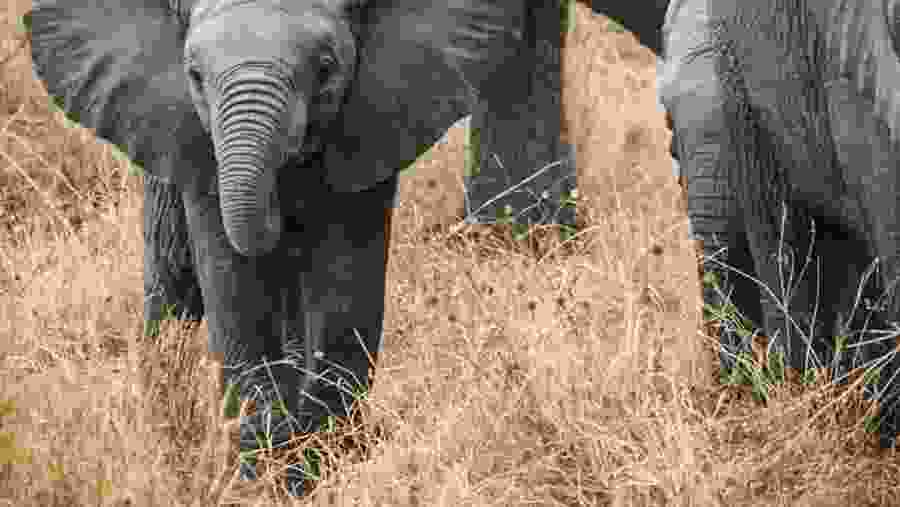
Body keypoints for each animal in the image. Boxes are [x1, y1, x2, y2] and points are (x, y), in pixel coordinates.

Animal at [26, 0, 530, 494]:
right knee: (171, 284)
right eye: (194, 75)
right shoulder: (192, 141)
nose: (282, 214)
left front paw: (315, 467)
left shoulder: (375, 122)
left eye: (326, 68)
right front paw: (264, 470)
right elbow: (235, 289)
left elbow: (342, 286)